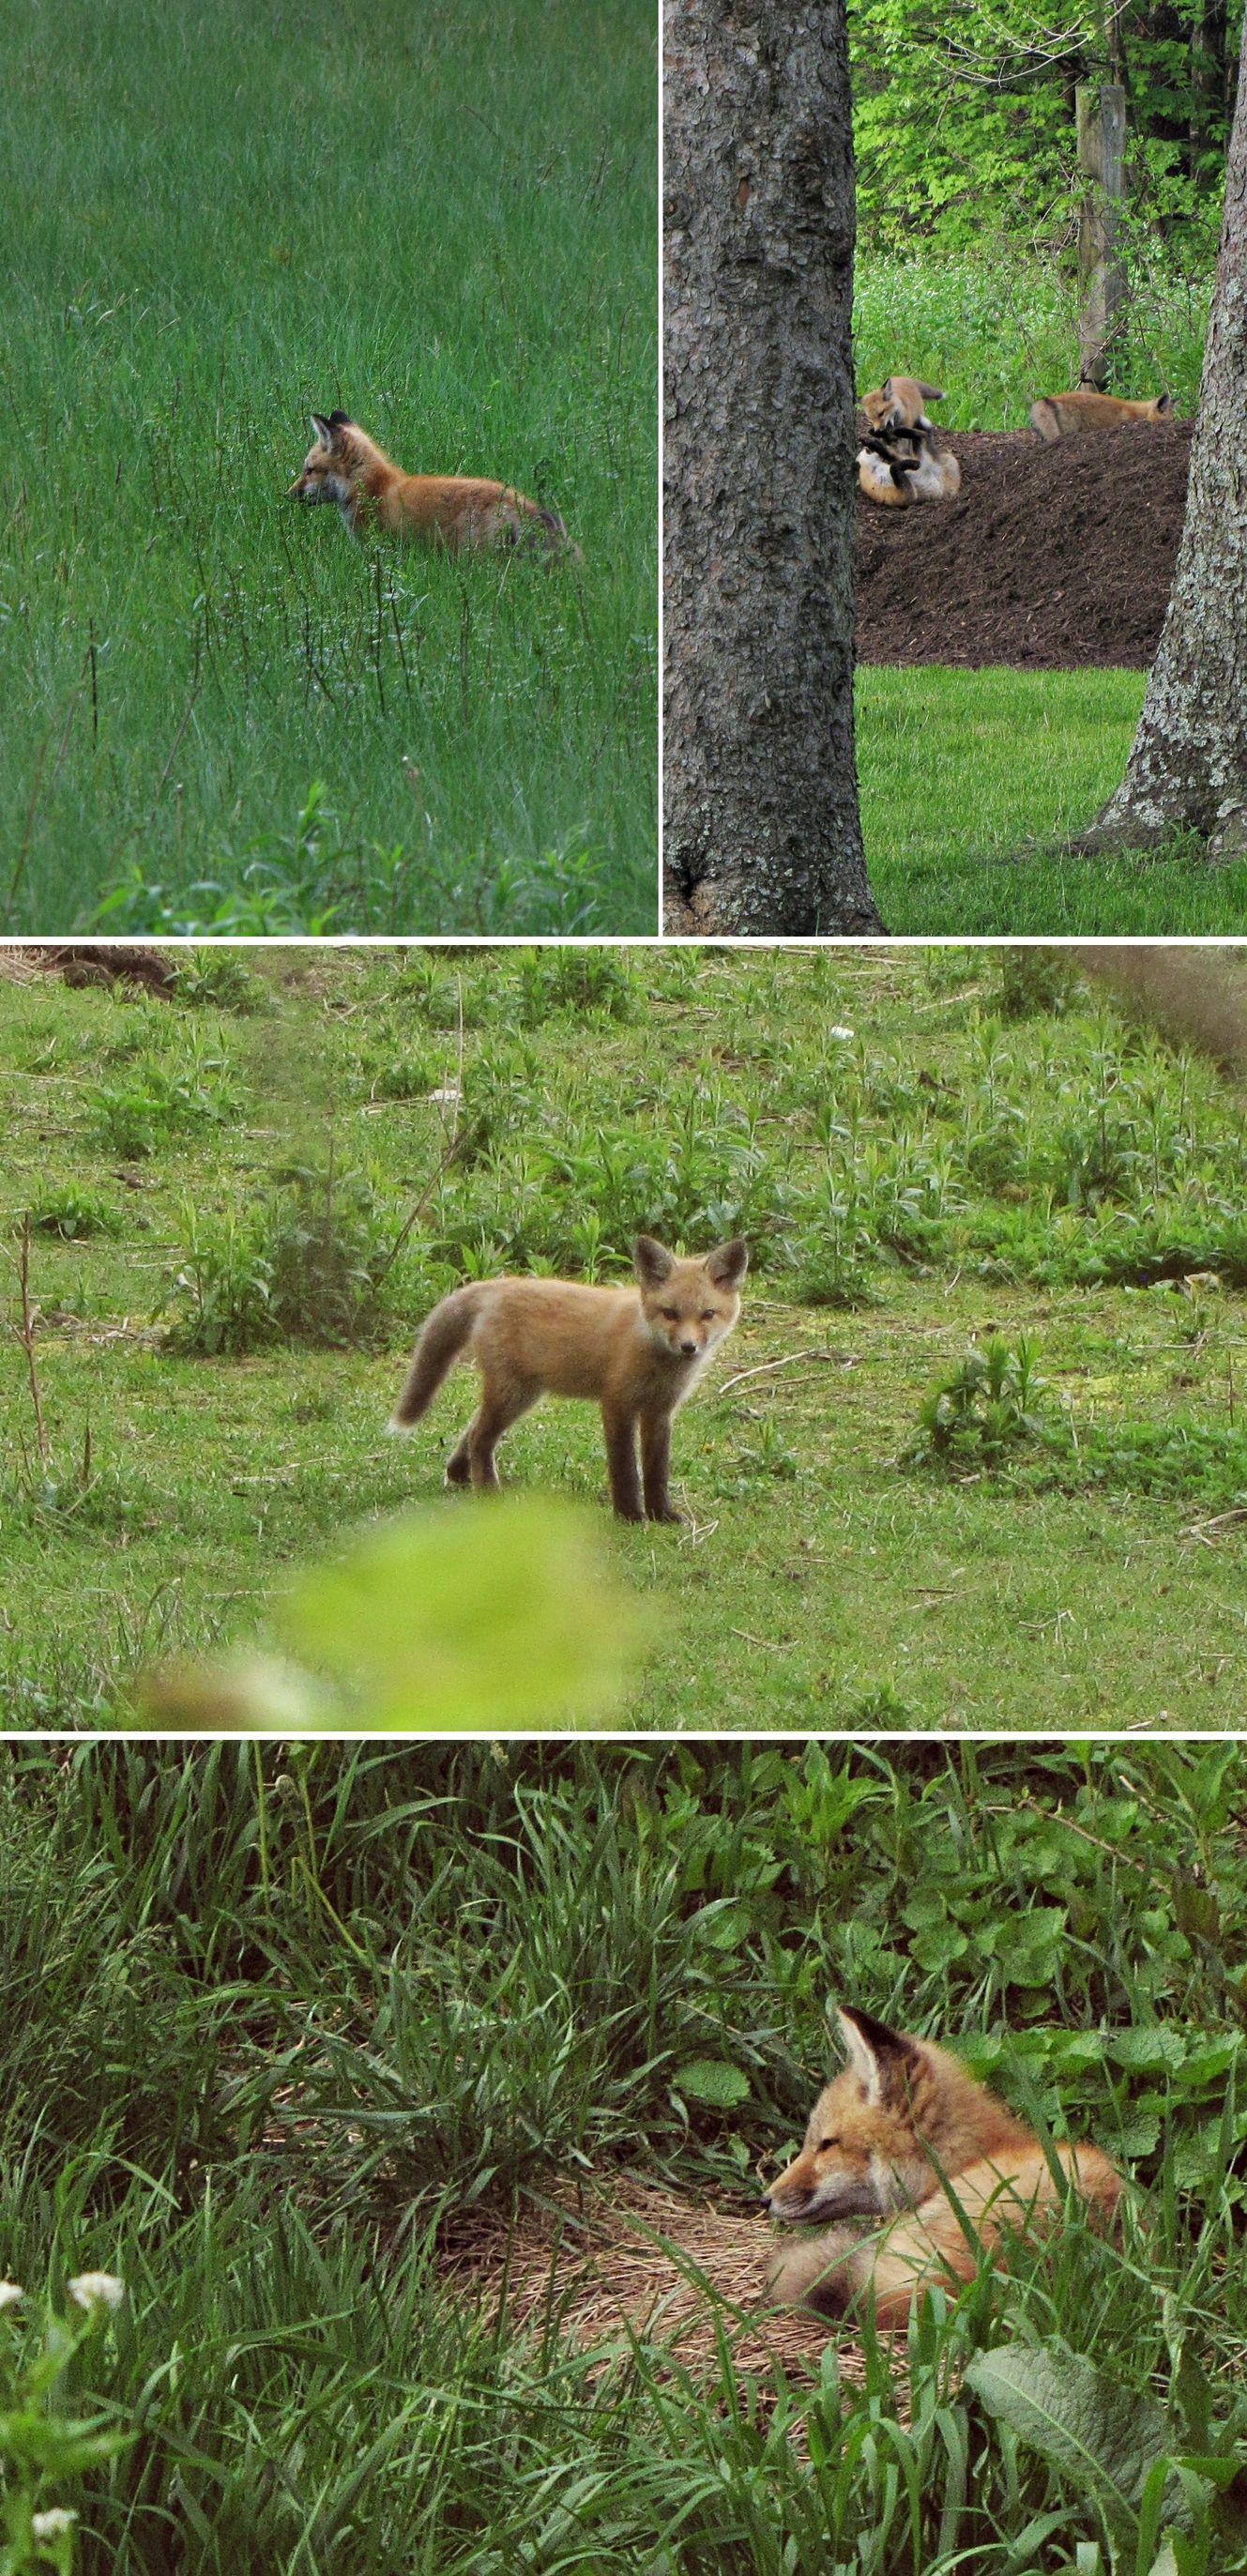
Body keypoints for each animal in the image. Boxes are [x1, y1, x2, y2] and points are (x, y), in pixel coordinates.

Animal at [384, 1236, 747, 1515]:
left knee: (472, 1429)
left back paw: (460, 1475)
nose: (689, 1347)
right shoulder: (616, 1405)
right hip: (512, 1394)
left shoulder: (660, 1412)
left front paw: (662, 1515)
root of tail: (498, 1284)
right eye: (670, 1313)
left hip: (523, 1395)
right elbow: (625, 1470)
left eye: (708, 1314)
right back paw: (488, 1493)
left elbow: (657, 1471)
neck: (655, 1357)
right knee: (479, 1438)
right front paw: (630, 1515)